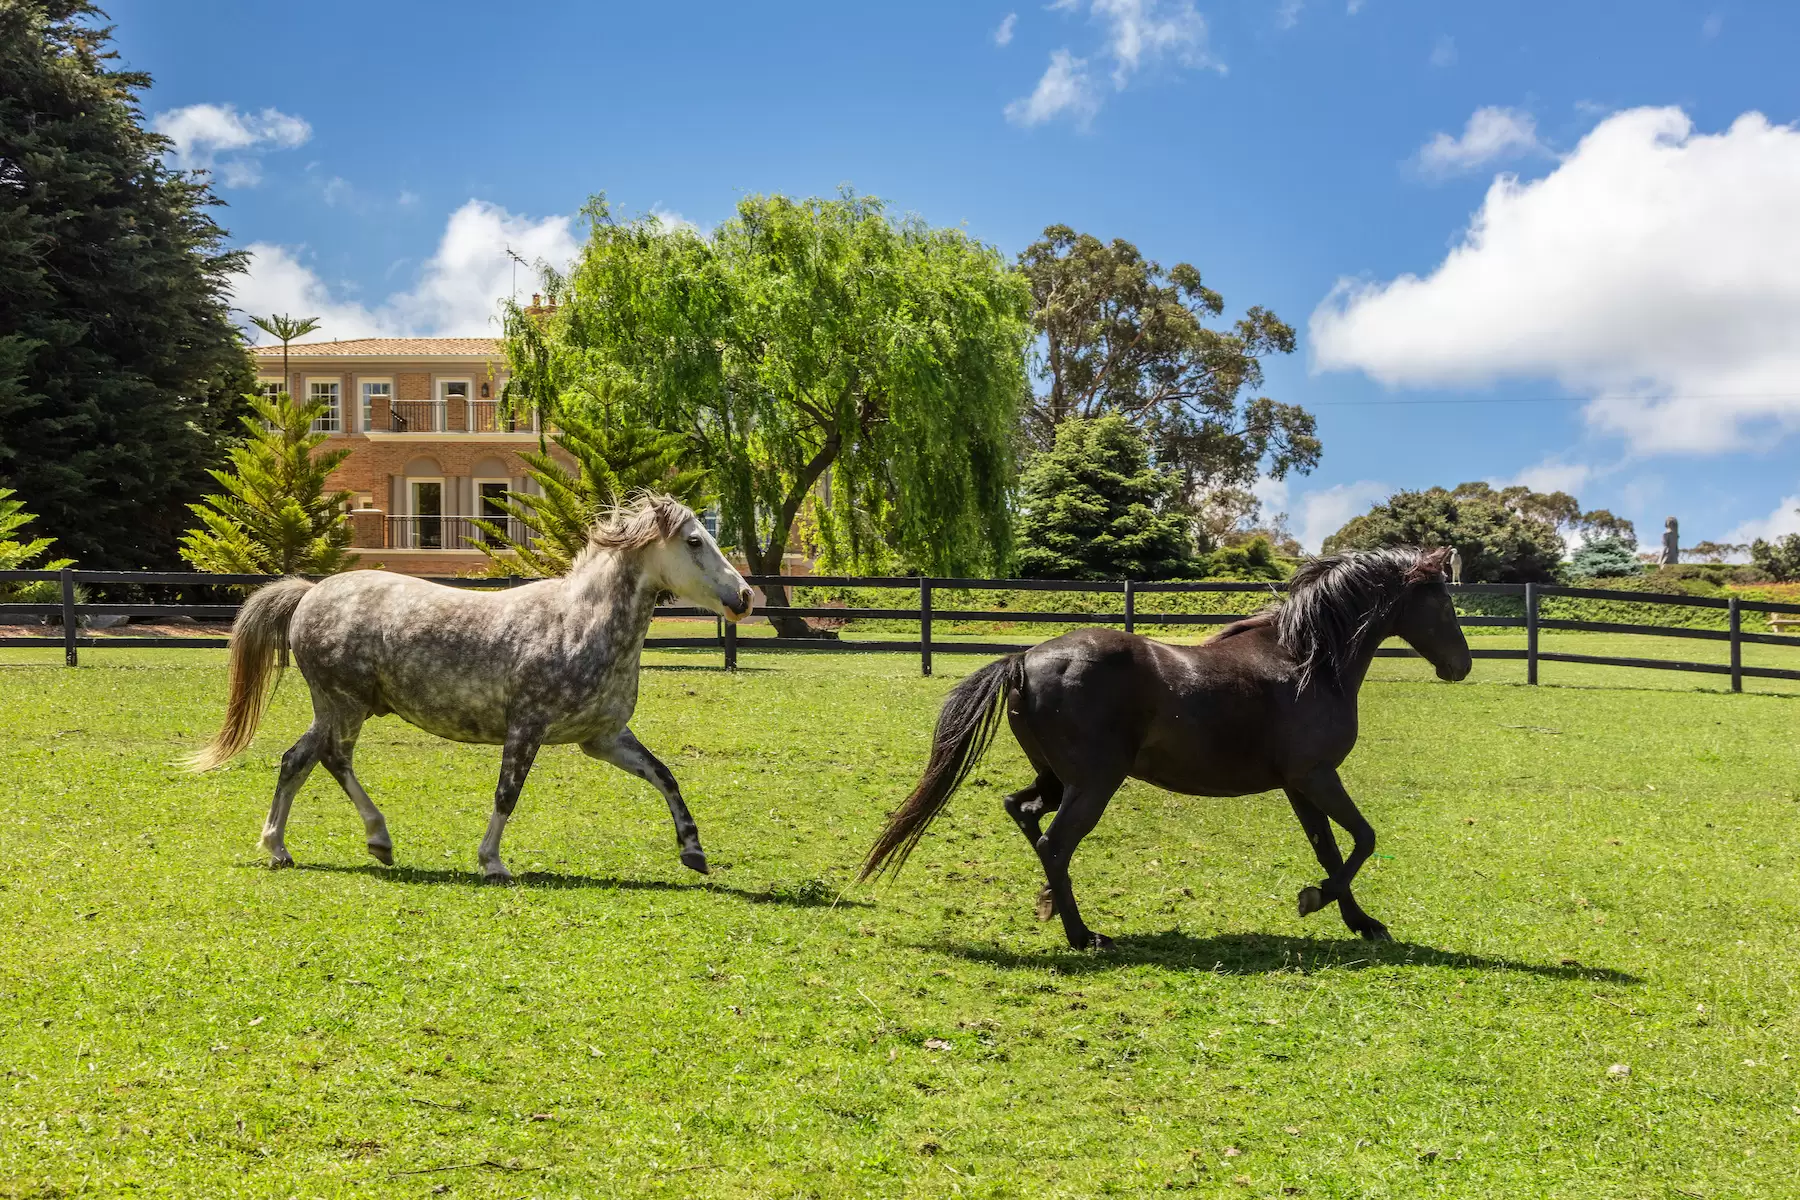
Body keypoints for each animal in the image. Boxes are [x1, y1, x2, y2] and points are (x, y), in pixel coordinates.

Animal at [182, 492, 745, 877]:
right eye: (695, 541)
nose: (744, 597)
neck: (579, 623)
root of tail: (308, 594)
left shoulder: (603, 739)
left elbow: (665, 776)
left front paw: (693, 851)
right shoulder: (527, 728)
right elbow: (507, 794)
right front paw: (491, 862)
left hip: (333, 708)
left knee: (296, 760)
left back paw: (280, 847)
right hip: (345, 706)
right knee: (331, 760)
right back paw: (377, 840)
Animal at [864, 543, 1468, 949]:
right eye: (1444, 605)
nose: (1461, 665)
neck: (1306, 661)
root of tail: (1025, 660)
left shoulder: (1298, 785)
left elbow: (1331, 850)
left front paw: (1360, 921)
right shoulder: (1317, 775)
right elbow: (1363, 839)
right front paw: (1315, 900)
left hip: (1057, 780)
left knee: (1022, 810)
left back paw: (1050, 905)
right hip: (1094, 784)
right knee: (1055, 843)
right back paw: (1084, 935)